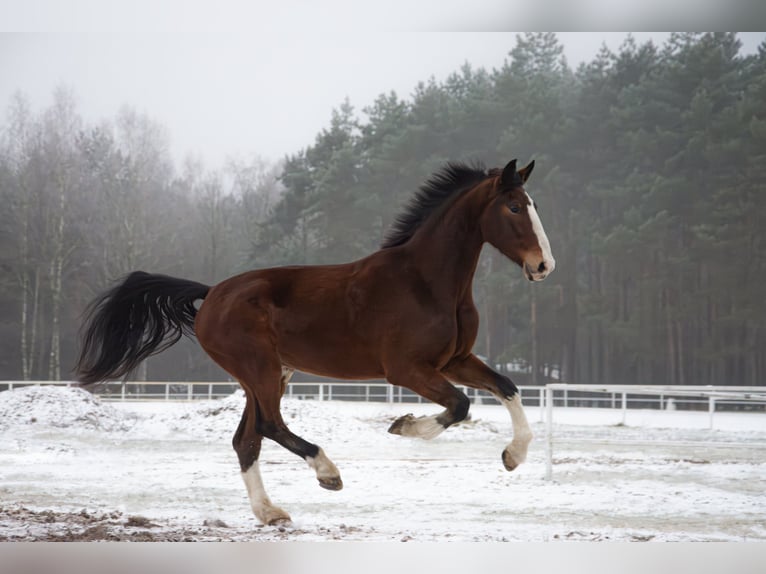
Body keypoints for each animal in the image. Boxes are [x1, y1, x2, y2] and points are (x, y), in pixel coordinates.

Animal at [75, 158, 560, 528]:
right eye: (514, 207)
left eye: (534, 205)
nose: (544, 266)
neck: (426, 282)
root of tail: (211, 294)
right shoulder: (407, 369)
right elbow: (460, 405)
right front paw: (404, 426)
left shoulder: (454, 359)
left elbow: (508, 388)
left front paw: (513, 456)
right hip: (260, 370)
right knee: (269, 426)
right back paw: (328, 474)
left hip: (266, 376)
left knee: (246, 439)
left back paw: (270, 512)